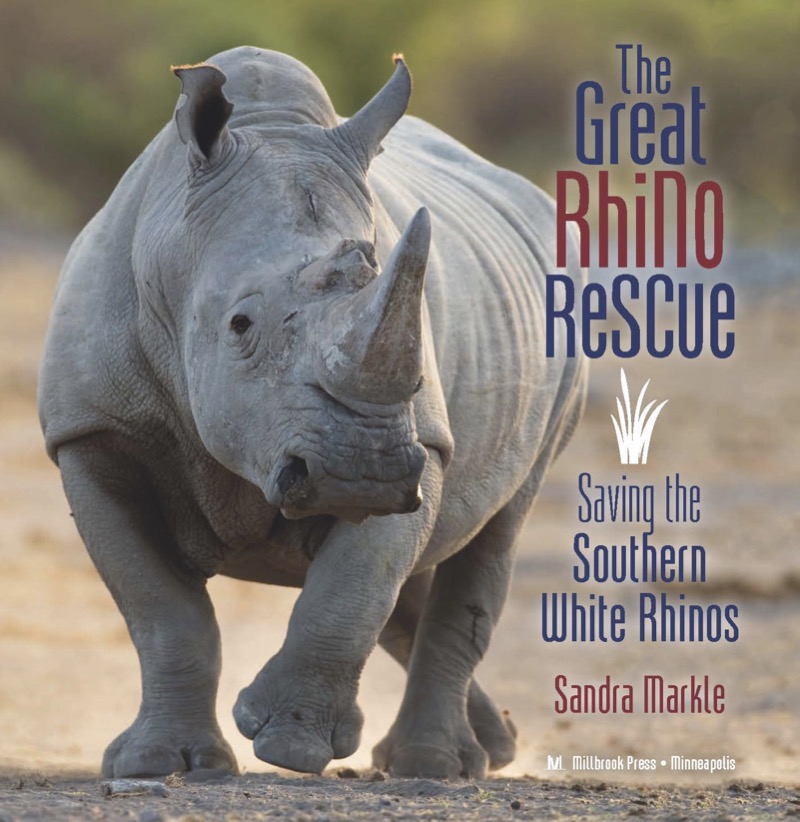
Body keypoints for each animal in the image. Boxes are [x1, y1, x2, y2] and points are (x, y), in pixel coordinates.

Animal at [39, 46, 586, 780]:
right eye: (241, 324)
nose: (360, 472)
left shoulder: (421, 445)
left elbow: (352, 590)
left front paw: (290, 746)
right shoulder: (93, 430)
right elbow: (160, 608)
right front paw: (160, 765)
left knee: (494, 531)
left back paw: (435, 768)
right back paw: (489, 748)